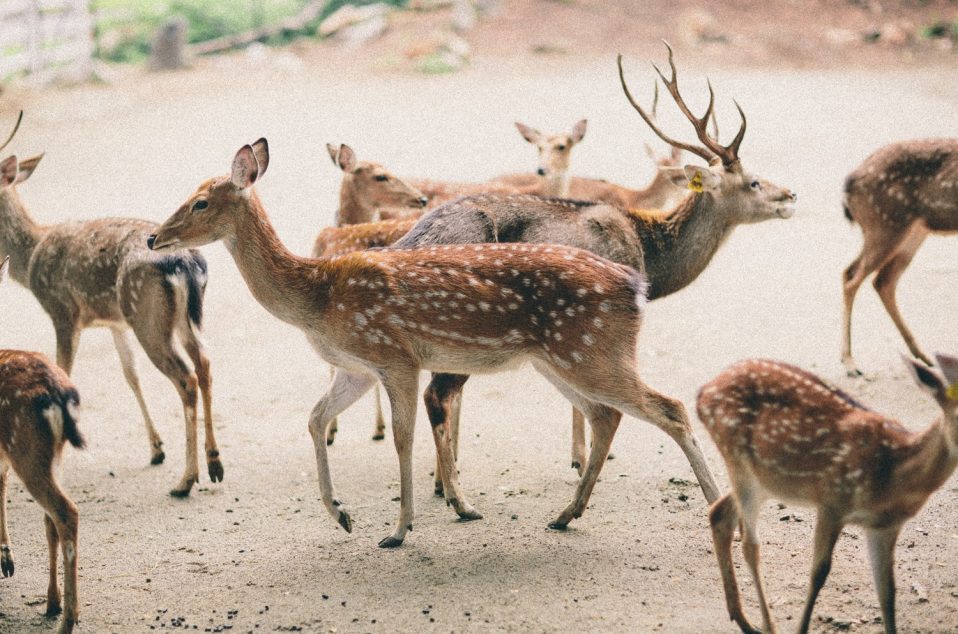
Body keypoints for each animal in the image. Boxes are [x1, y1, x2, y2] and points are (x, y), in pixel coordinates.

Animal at [0, 116, 221, 496]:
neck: (28, 262)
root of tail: (186, 260)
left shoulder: (62, 311)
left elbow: (66, 369)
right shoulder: (115, 322)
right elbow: (130, 375)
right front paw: (155, 449)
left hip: (148, 318)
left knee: (186, 377)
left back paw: (185, 480)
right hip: (180, 317)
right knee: (204, 364)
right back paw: (214, 464)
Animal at [148, 139, 720, 548]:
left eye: (200, 202)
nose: (155, 237)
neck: (317, 297)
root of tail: (637, 285)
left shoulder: (394, 355)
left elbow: (403, 439)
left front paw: (398, 530)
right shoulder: (356, 367)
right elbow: (314, 420)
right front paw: (342, 515)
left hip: (592, 350)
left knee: (669, 407)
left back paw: (715, 505)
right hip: (563, 358)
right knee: (608, 414)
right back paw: (564, 515)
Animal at [696, 356, 958, 632]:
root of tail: (702, 395)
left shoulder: (885, 526)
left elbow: (887, 592)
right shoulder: (832, 501)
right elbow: (819, 572)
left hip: (764, 481)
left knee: (720, 514)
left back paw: (744, 620)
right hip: (738, 460)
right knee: (749, 544)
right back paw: (767, 624)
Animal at [840, 138, 958, 376]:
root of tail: (850, 182)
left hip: (911, 231)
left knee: (880, 279)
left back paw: (922, 355)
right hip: (886, 225)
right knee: (852, 278)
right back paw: (849, 362)